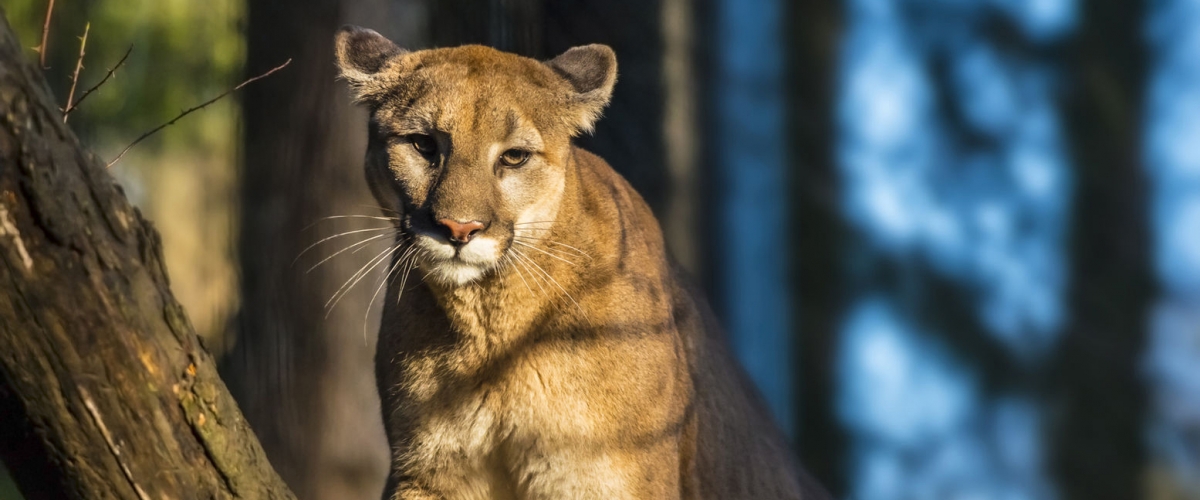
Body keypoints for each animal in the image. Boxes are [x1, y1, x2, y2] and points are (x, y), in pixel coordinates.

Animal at [333, 25, 830, 498]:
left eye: (514, 157)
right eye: (423, 144)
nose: (458, 228)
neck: (489, 329)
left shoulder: (607, 473)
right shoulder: (430, 471)